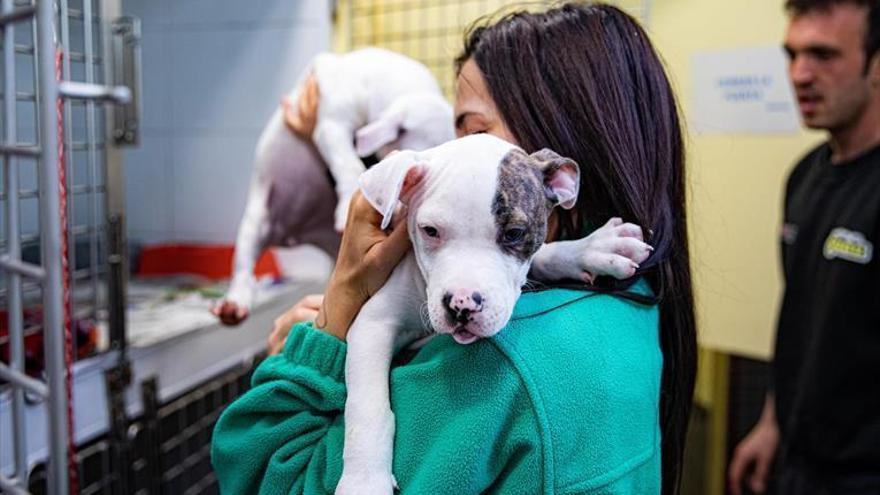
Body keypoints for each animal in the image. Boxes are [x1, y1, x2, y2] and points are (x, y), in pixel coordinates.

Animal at [213, 46, 454, 326]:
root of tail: (291, 233)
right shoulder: (330, 127)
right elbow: (348, 162)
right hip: (256, 222)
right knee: (243, 264)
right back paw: (234, 303)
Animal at [336, 134, 652, 494]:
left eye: (514, 233)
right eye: (430, 231)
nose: (462, 305)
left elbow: (543, 254)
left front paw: (594, 248)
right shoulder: (374, 322)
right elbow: (367, 407)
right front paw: (364, 481)